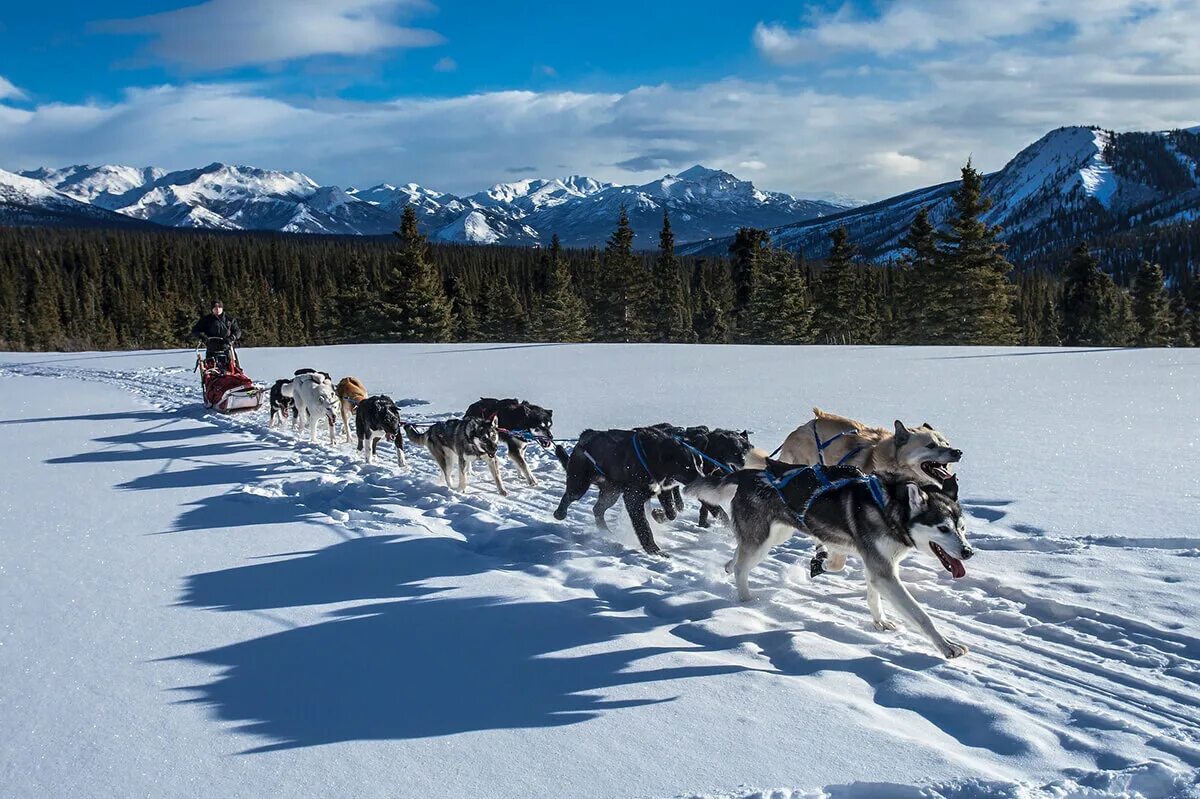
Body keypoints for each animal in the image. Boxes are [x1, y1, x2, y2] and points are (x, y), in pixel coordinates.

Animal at [552, 422, 700, 554]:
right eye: (687, 467)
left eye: (698, 463)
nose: (703, 477)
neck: (652, 457)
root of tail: (584, 436)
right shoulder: (633, 498)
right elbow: (644, 526)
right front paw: (653, 549)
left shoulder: (662, 490)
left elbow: (671, 512)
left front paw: (658, 515)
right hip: (579, 485)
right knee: (569, 496)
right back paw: (560, 513)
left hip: (611, 494)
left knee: (597, 509)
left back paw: (605, 532)